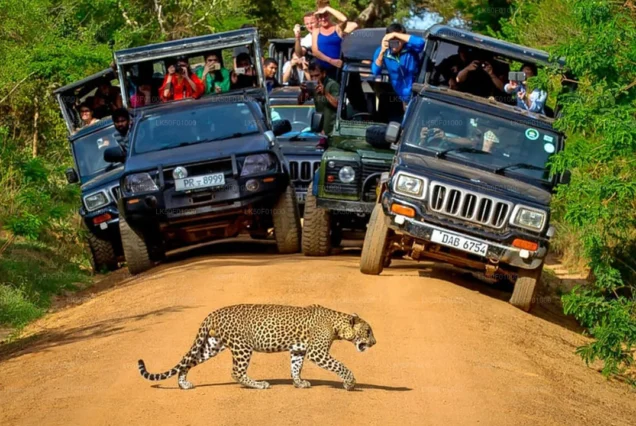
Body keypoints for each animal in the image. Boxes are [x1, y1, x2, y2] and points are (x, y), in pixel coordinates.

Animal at [137, 304, 376, 392]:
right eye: (368, 331)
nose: (374, 343)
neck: (337, 325)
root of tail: (214, 312)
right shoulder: (317, 352)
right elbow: (340, 365)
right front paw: (350, 383)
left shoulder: (298, 350)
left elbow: (296, 367)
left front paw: (299, 383)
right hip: (242, 347)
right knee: (236, 372)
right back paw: (259, 385)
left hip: (213, 345)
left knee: (189, 360)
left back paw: (183, 383)